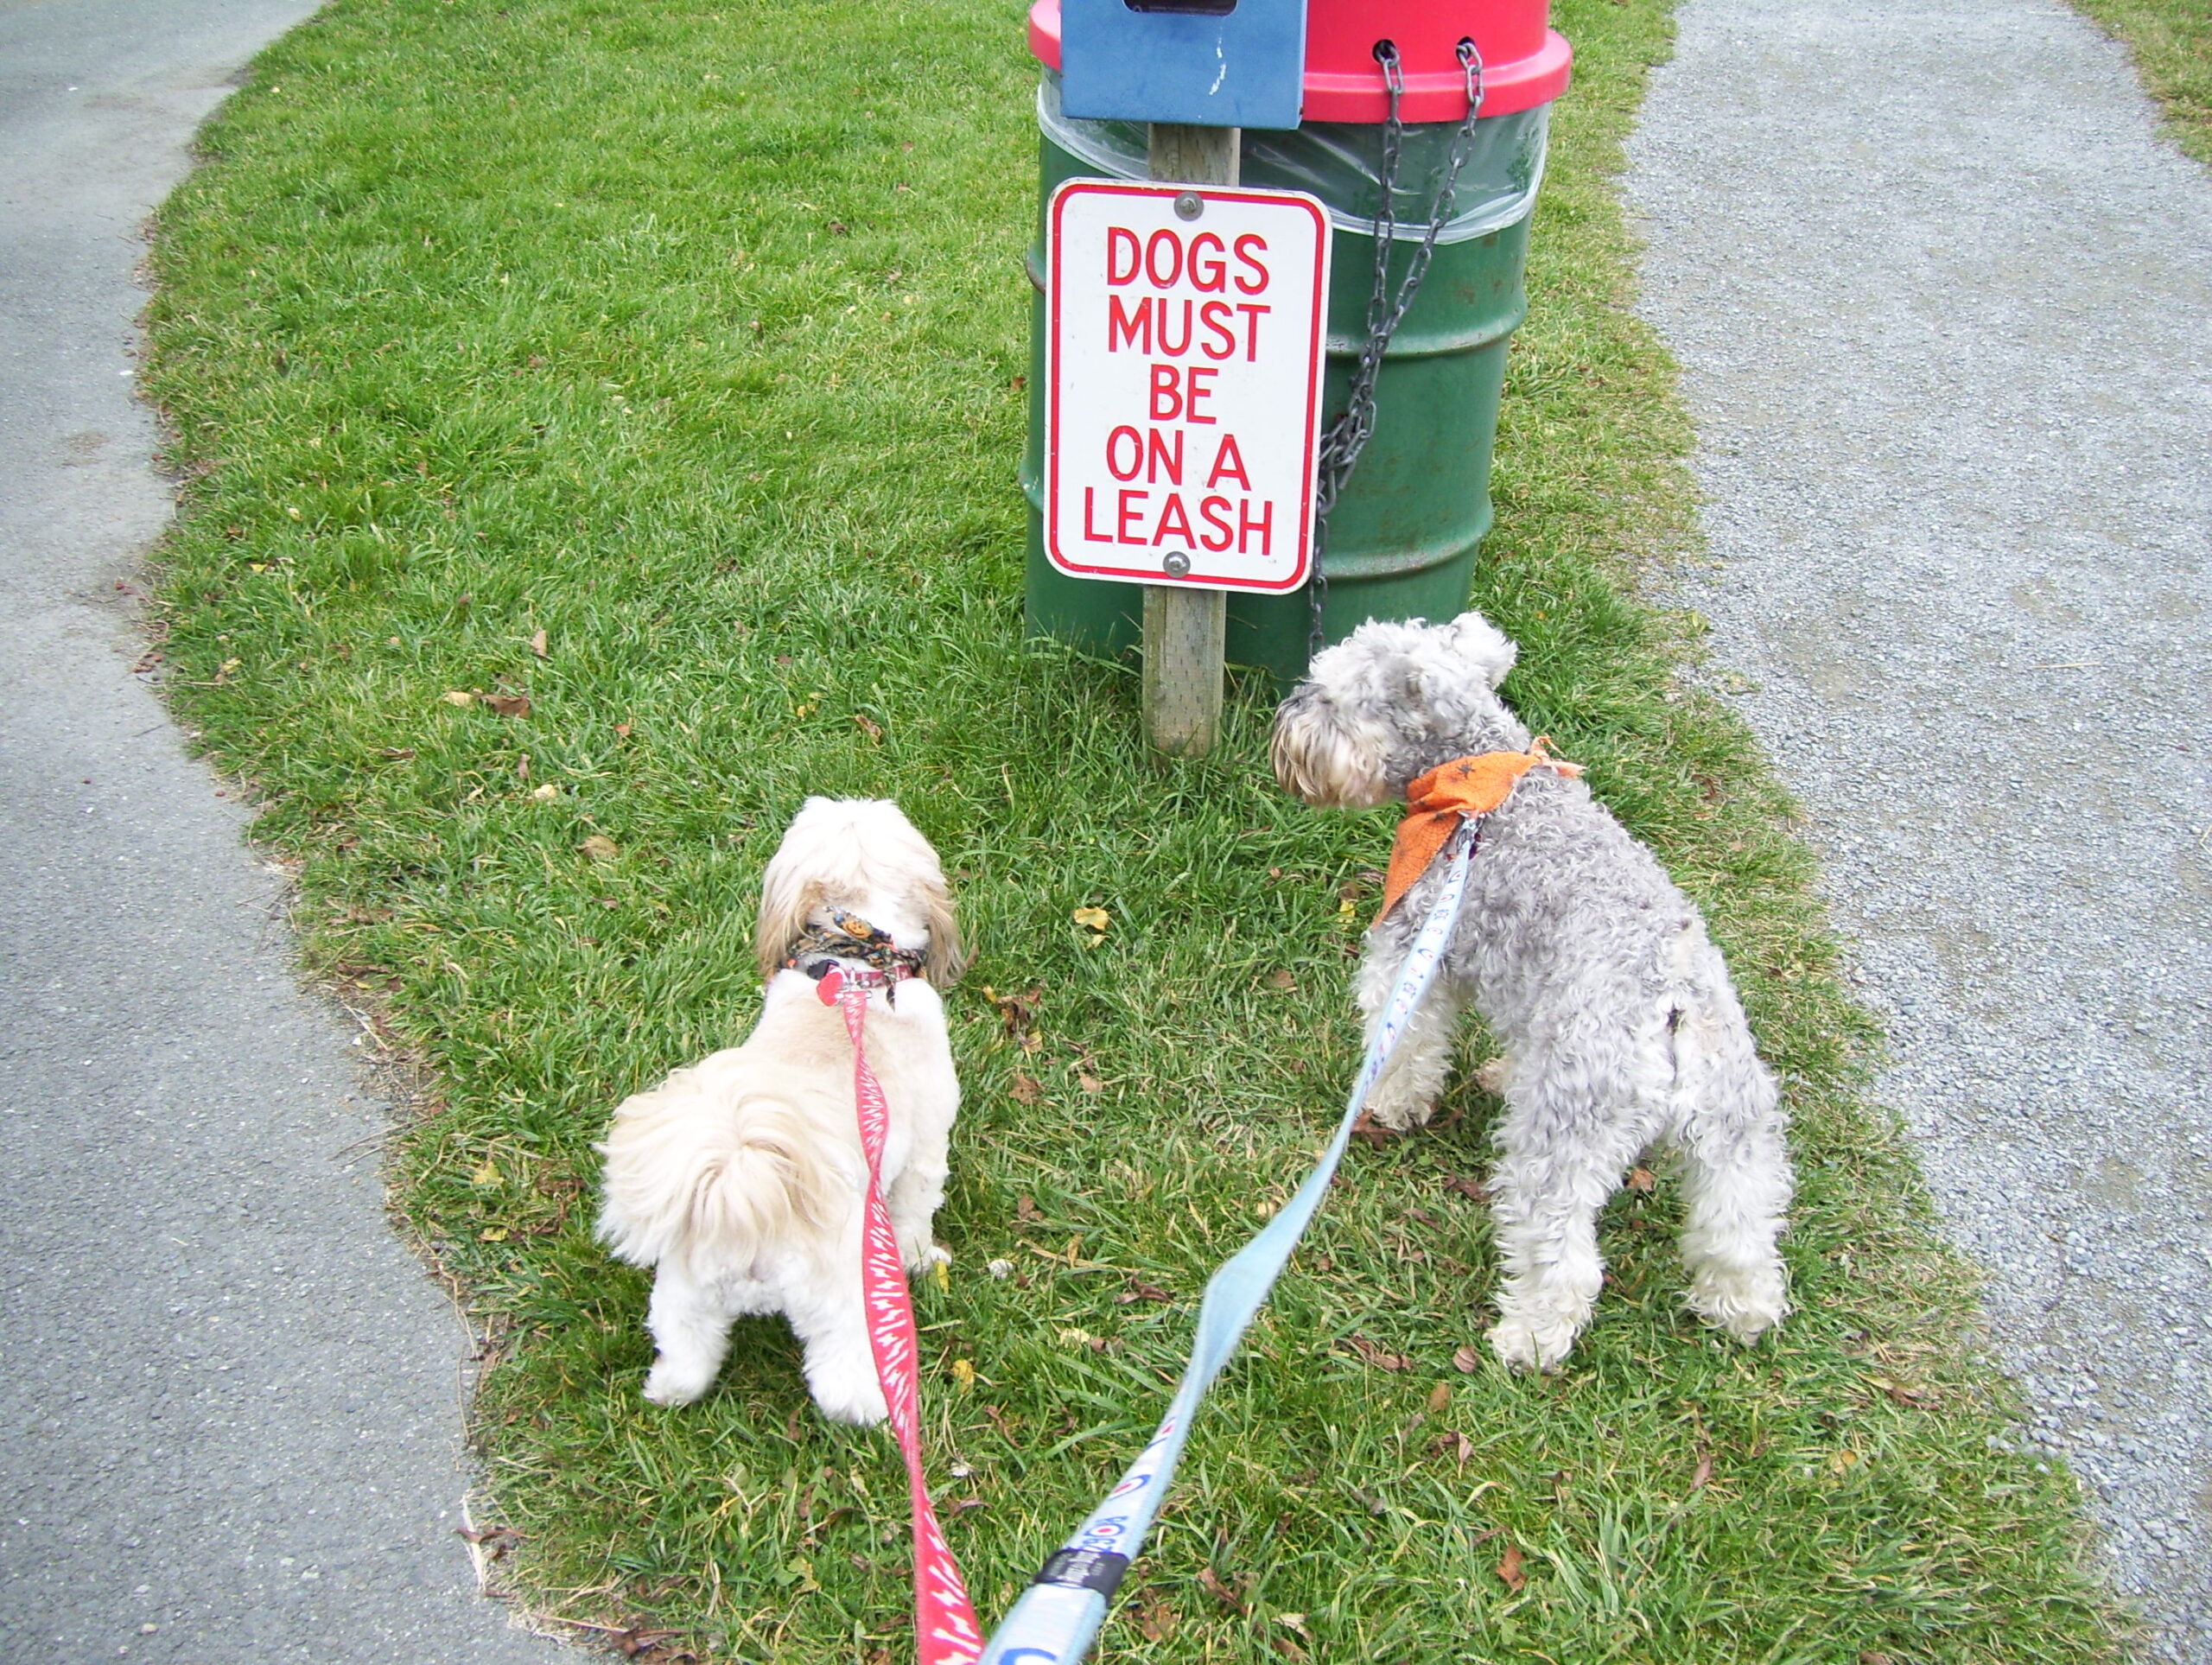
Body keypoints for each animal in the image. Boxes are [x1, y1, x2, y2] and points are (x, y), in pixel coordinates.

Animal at [593, 800, 964, 1424]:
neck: (856, 969)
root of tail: (743, 1196)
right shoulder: (924, 1150)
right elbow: (916, 1211)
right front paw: (922, 1258)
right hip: (842, 1293)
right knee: (839, 1377)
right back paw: (874, 1410)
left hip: (684, 1293)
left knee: (686, 1353)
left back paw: (669, 1390)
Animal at [1274, 610, 1787, 1362]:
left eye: (1335, 693)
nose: (1286, 718)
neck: (1477, 781)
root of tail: (1672, 1008)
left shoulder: (1414, 954)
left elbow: (1406, 1045)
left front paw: (1389, 1103)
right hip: (1736, 1129)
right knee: (1741, 1226)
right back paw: (1742, 1309)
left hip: (1562, 1139)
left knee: (1561, 1249)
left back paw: (1530, 1337)